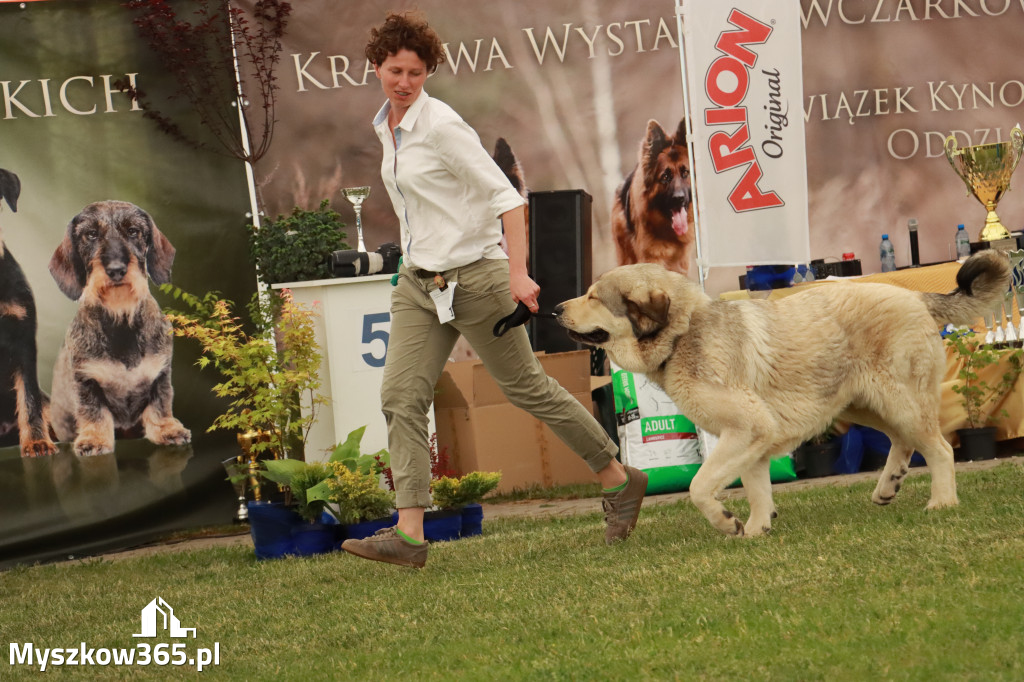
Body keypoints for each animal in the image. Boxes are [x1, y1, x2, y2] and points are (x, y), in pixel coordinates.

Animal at [47, 201, 190, 456]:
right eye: (90, 234)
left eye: (133, 231)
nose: (116, 269)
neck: (121, 320)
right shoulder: (86, 379)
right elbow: (93, 410)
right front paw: (94, 439)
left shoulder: (160, 373)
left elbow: (161, 404)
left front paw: (167, 430)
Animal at [552, 250, 1007, 536]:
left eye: (594, 296)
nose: (554, 309)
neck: (684, 333)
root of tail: (915, 296)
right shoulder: (753, 437)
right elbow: (756, 488)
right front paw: (757, 529)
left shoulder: (746, 428)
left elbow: (700, 487)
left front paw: (727, 522)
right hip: (865, 405)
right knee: (904, 442)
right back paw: (887, 486)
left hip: (898, 402)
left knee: (939, 449)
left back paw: (942, 502)